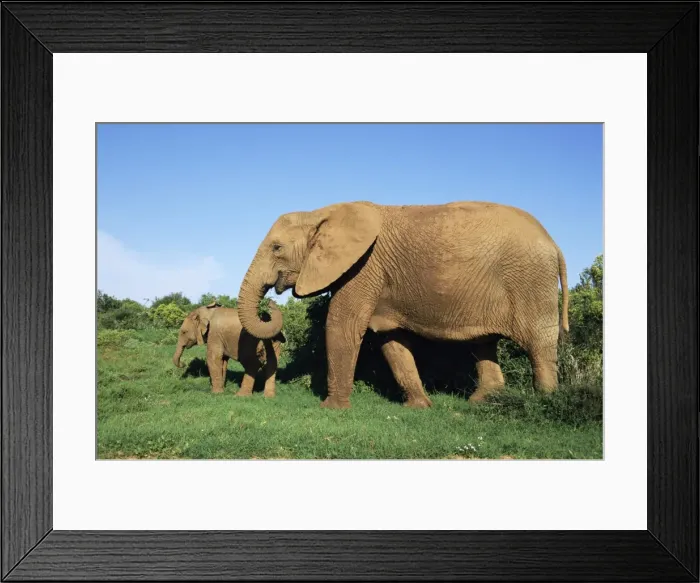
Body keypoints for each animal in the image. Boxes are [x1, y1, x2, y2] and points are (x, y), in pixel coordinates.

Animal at [237, 201, 569, 409]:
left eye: (277, 248)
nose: (270, 302)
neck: (321, 212)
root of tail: (554, 243)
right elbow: (391, 341)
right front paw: (420, 408)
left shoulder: (363, 267)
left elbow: (342, 326)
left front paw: (331, 409)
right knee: (484, 342)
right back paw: (480, 403)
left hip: (530, 279)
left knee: (538, 343)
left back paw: (546, 401)